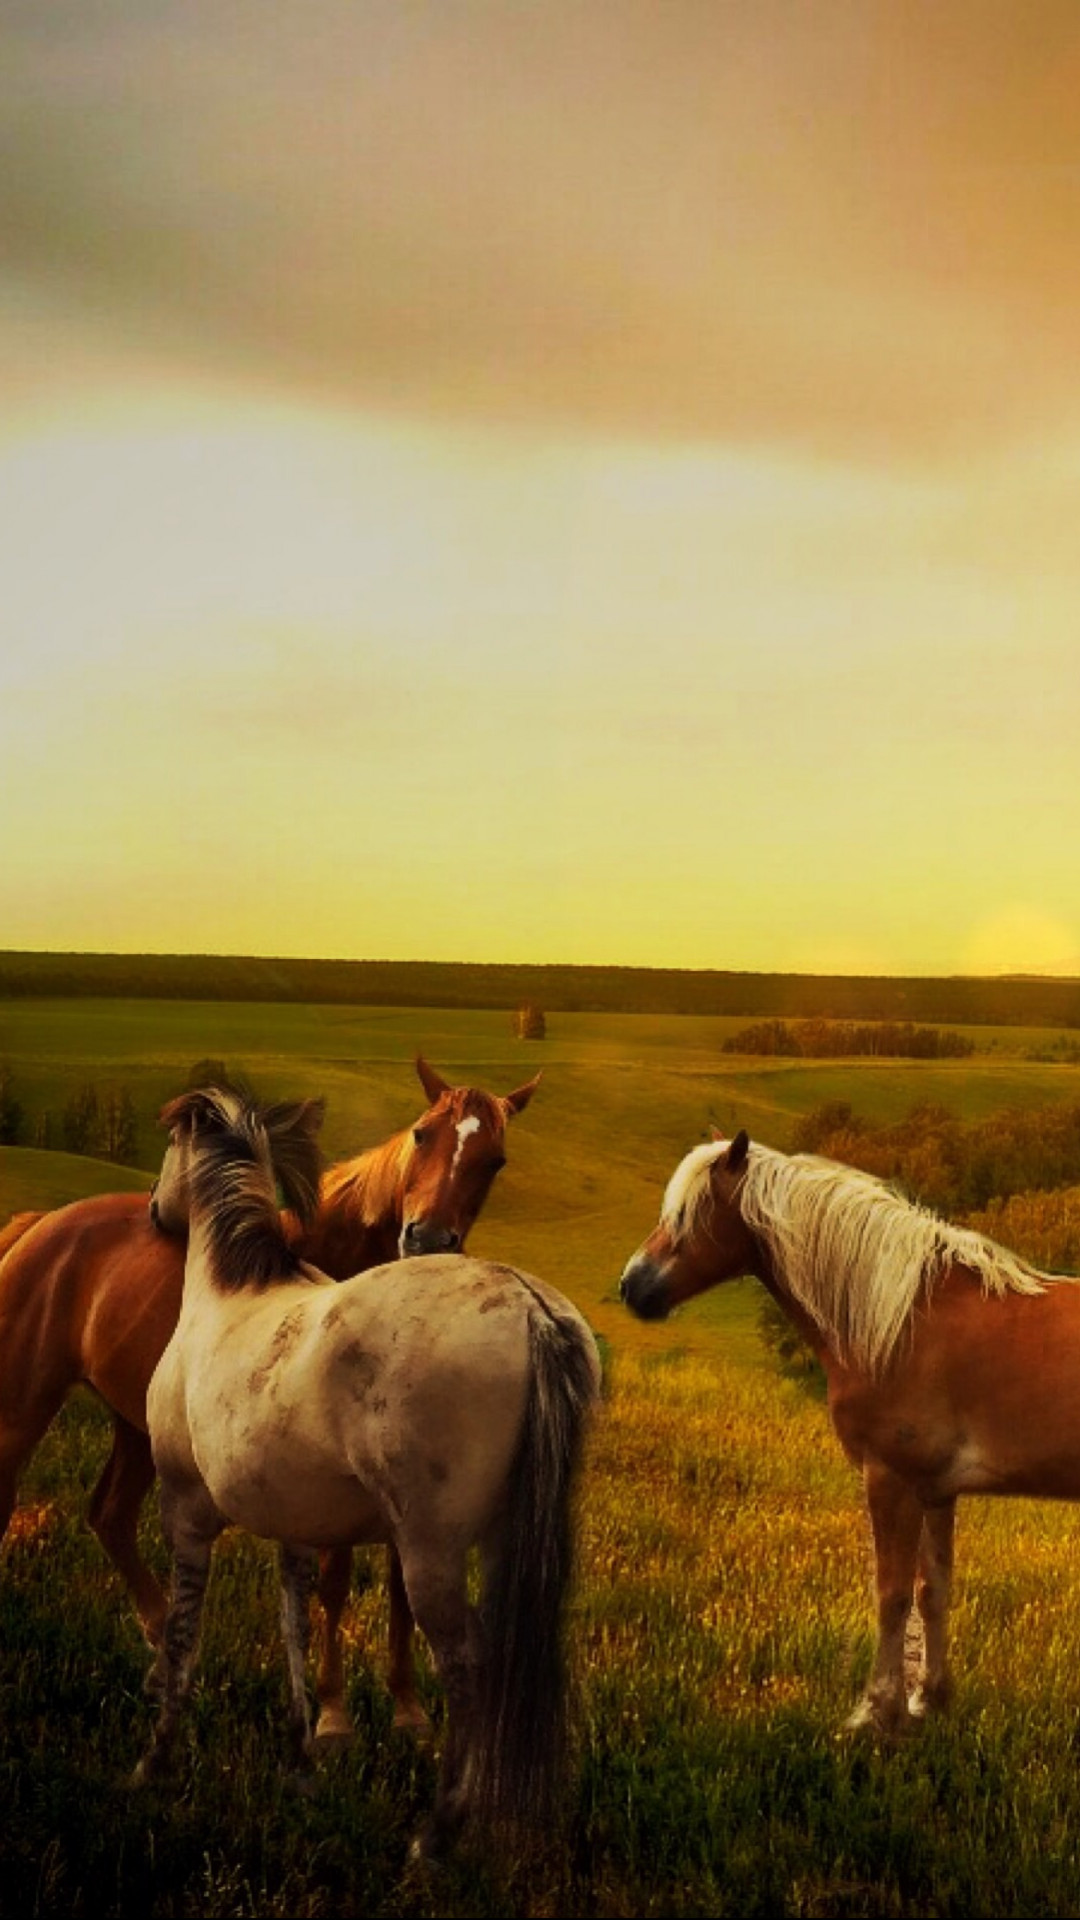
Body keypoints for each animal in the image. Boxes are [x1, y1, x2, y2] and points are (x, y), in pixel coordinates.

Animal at [0, 1055, 540, 1740]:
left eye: (494, 1160)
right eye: (422, 1135)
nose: (425, 1240)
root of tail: (39, 1224)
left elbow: (400, 1583)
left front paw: (407, 1706)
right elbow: (336, 1580)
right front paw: (332, 1713)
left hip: (137, 1428)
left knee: (110, 1516)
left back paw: (165, 1655)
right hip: (25, 1403)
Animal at [135, 1085, 599, 1862]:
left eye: (168, 1147)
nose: (153, 1211)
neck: (228, 1293)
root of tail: (529, 1309)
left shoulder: (188, 1512)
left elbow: (180, 1633)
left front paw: (157, 1760)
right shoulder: (295, 1531)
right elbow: (295, 1624)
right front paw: (301, 1757)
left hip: (432, 1554)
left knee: (468, 1666)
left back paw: (438, 1834)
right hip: (506, 1542)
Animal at [619, 1127, 1080, 1738]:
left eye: (691, 1213)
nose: (632, 1286)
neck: (903, 1320)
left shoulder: (890, 1479)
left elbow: (892, 1595)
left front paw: (875, 1711)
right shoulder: (936, 1489)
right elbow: (933, 1591)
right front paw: (928, 1699)